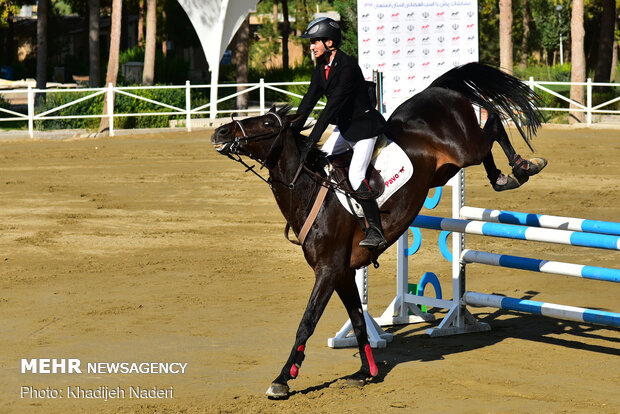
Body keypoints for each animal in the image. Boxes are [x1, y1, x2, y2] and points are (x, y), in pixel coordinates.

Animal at [211, 63, 544, 400]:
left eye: (267, 122)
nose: (221, 132)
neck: (308, 187)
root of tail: (436, 89)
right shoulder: (343, 274)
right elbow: (358, 321)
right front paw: (365, 371)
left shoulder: (328, 270)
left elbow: (307, 321)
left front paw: (283, 378)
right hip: (445, 169)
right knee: (488, 140)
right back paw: (502, 177)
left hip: (465, 149)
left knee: (493, 125)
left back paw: (523, 166)